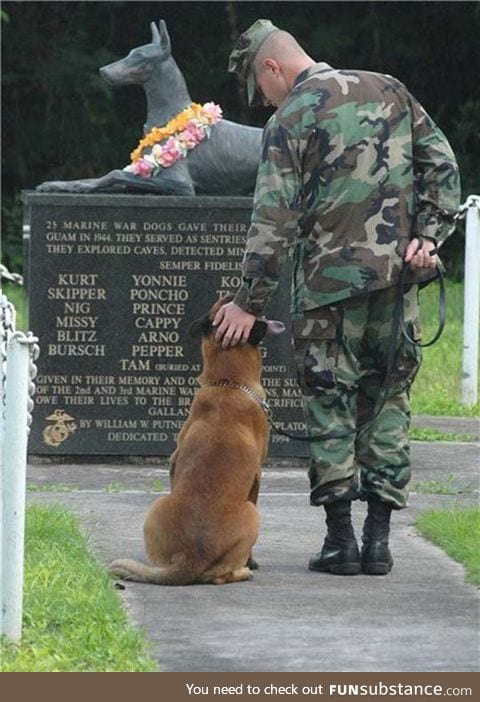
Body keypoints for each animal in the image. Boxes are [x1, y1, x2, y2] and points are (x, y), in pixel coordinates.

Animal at [109, 298, 284, 588]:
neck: (228, 383)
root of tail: (191, 558)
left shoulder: (173, 462)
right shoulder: (258, 477)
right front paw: (252, 562)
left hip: (157, 505)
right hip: (251, 514)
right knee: (219, 577)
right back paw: (243, 571)